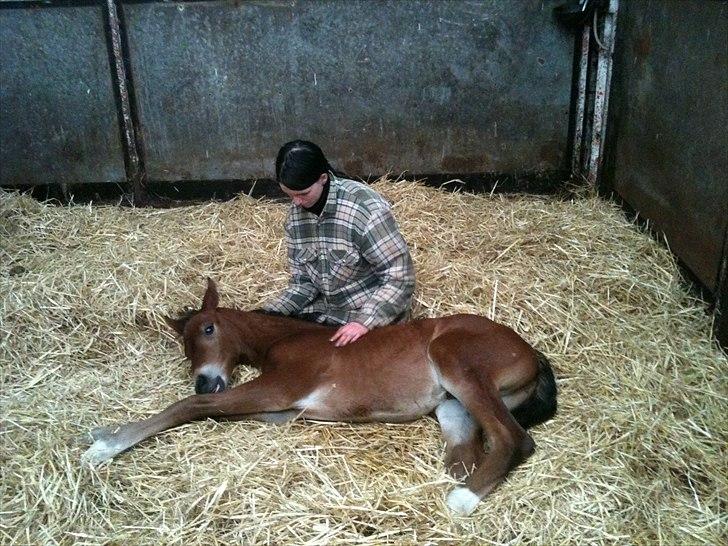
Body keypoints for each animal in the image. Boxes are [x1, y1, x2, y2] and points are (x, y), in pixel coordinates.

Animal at [81, 278, 556, 512]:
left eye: (210, 329)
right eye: (185, 348)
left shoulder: (280, 386)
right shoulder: (284, 408)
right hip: (452, 406)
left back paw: (462, 501)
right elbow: (211, 410)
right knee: (467, 453)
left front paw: (104, 445)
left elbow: (191, 407)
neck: (288, 338)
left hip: (457, 363)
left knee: (515, 439)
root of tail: (531, 352)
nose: (205, 379)